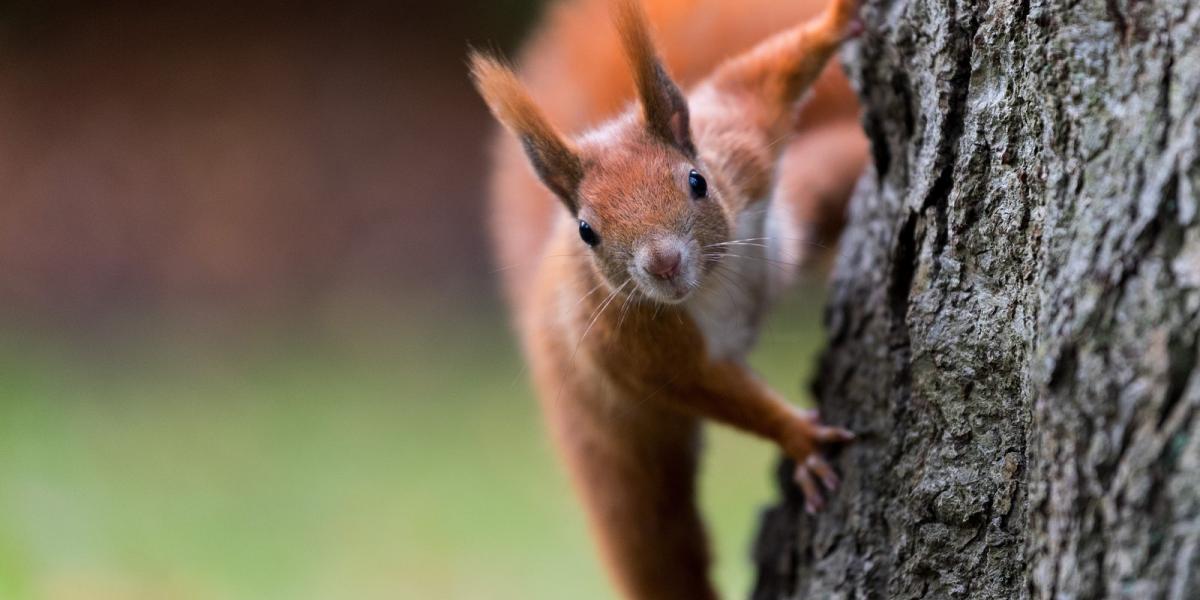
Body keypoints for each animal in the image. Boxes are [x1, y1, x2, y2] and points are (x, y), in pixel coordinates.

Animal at [470, 1, 873, 595]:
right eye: (588, 231)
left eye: (697, 181)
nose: (663, 263)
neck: (708, 285)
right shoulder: (632, 344)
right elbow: (707, 387)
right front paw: (798, 436)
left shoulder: (742, 138)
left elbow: (763, 74)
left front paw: (838, 20)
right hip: (613, 449)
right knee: (658, 544)